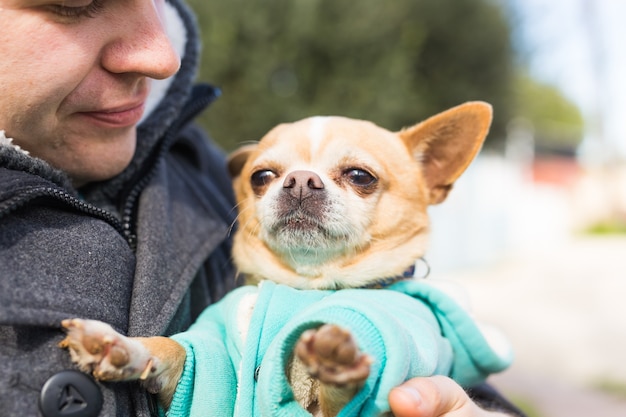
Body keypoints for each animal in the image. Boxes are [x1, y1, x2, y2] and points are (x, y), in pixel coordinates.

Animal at [61, 101, 494, 416]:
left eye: (360, 176)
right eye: (261, 176)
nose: (301, 180)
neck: (307, 285)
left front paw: (336, 360)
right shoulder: (210, 365)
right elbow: (176, 351)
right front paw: (120, 347)